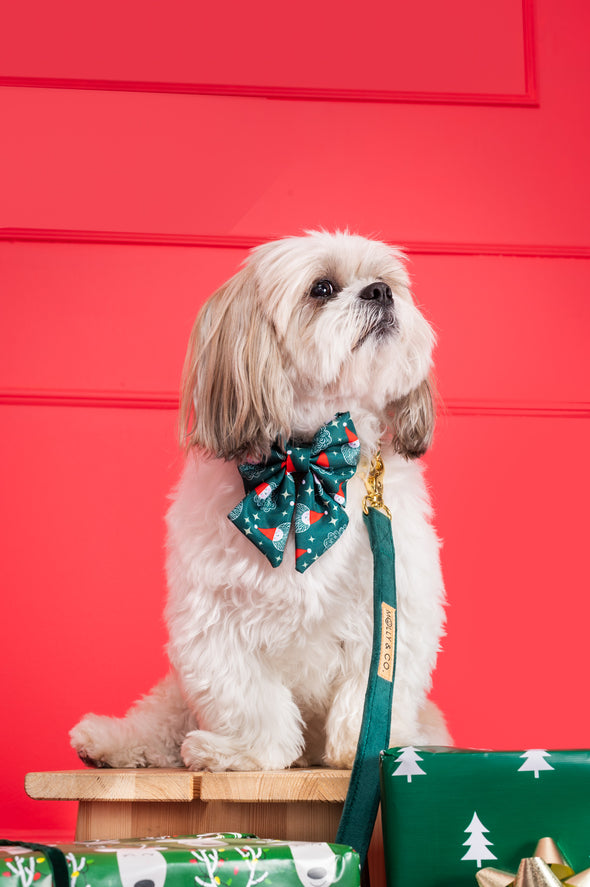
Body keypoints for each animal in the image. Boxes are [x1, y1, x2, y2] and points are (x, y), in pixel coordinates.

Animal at [70, 232, 448, 772]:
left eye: (387, 280)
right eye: (322, 287)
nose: (380, 292)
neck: (303, 464)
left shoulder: (395, 604)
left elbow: (370, 691)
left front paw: (356, 749)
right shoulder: (212, 618)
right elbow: (248, 698)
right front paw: (243, 752)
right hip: (174, 695)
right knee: (162, 720)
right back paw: (111, 741)